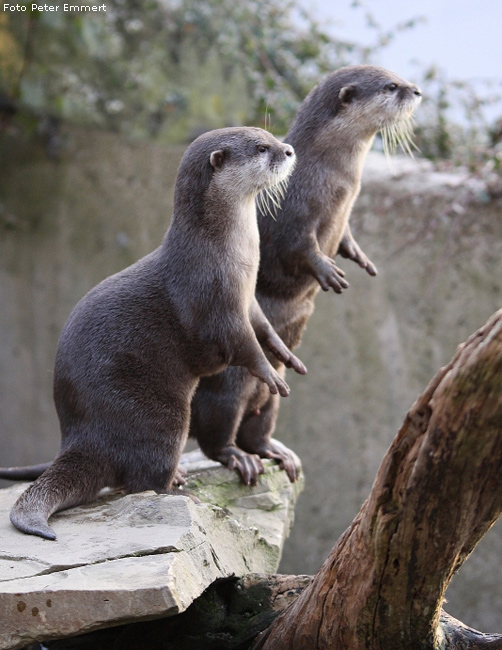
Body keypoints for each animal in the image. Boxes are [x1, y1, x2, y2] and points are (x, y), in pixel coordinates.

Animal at [6, 125, 306, 536]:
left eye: (270, 135)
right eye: (261, 148)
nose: (289, 150)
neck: (229, 255)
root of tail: (82, 435)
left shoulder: (249, 300)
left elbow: (264, 329)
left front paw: (286, 356)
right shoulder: (213, 303)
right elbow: (241, 345)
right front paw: (269, 374)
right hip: (159, 414)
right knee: (143, 479)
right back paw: (184, 489)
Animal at [186, 66, 422, 484]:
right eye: (392, 86)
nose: (417, 91)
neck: (335, 176)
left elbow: (343, 238)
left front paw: (359, 257)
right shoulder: (293, 208)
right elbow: (299, 247)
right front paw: (327, 271)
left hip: (273, 396)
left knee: (257, 428)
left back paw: (276, 452)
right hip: (229, 385)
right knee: (215, 431)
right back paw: (237, 458)